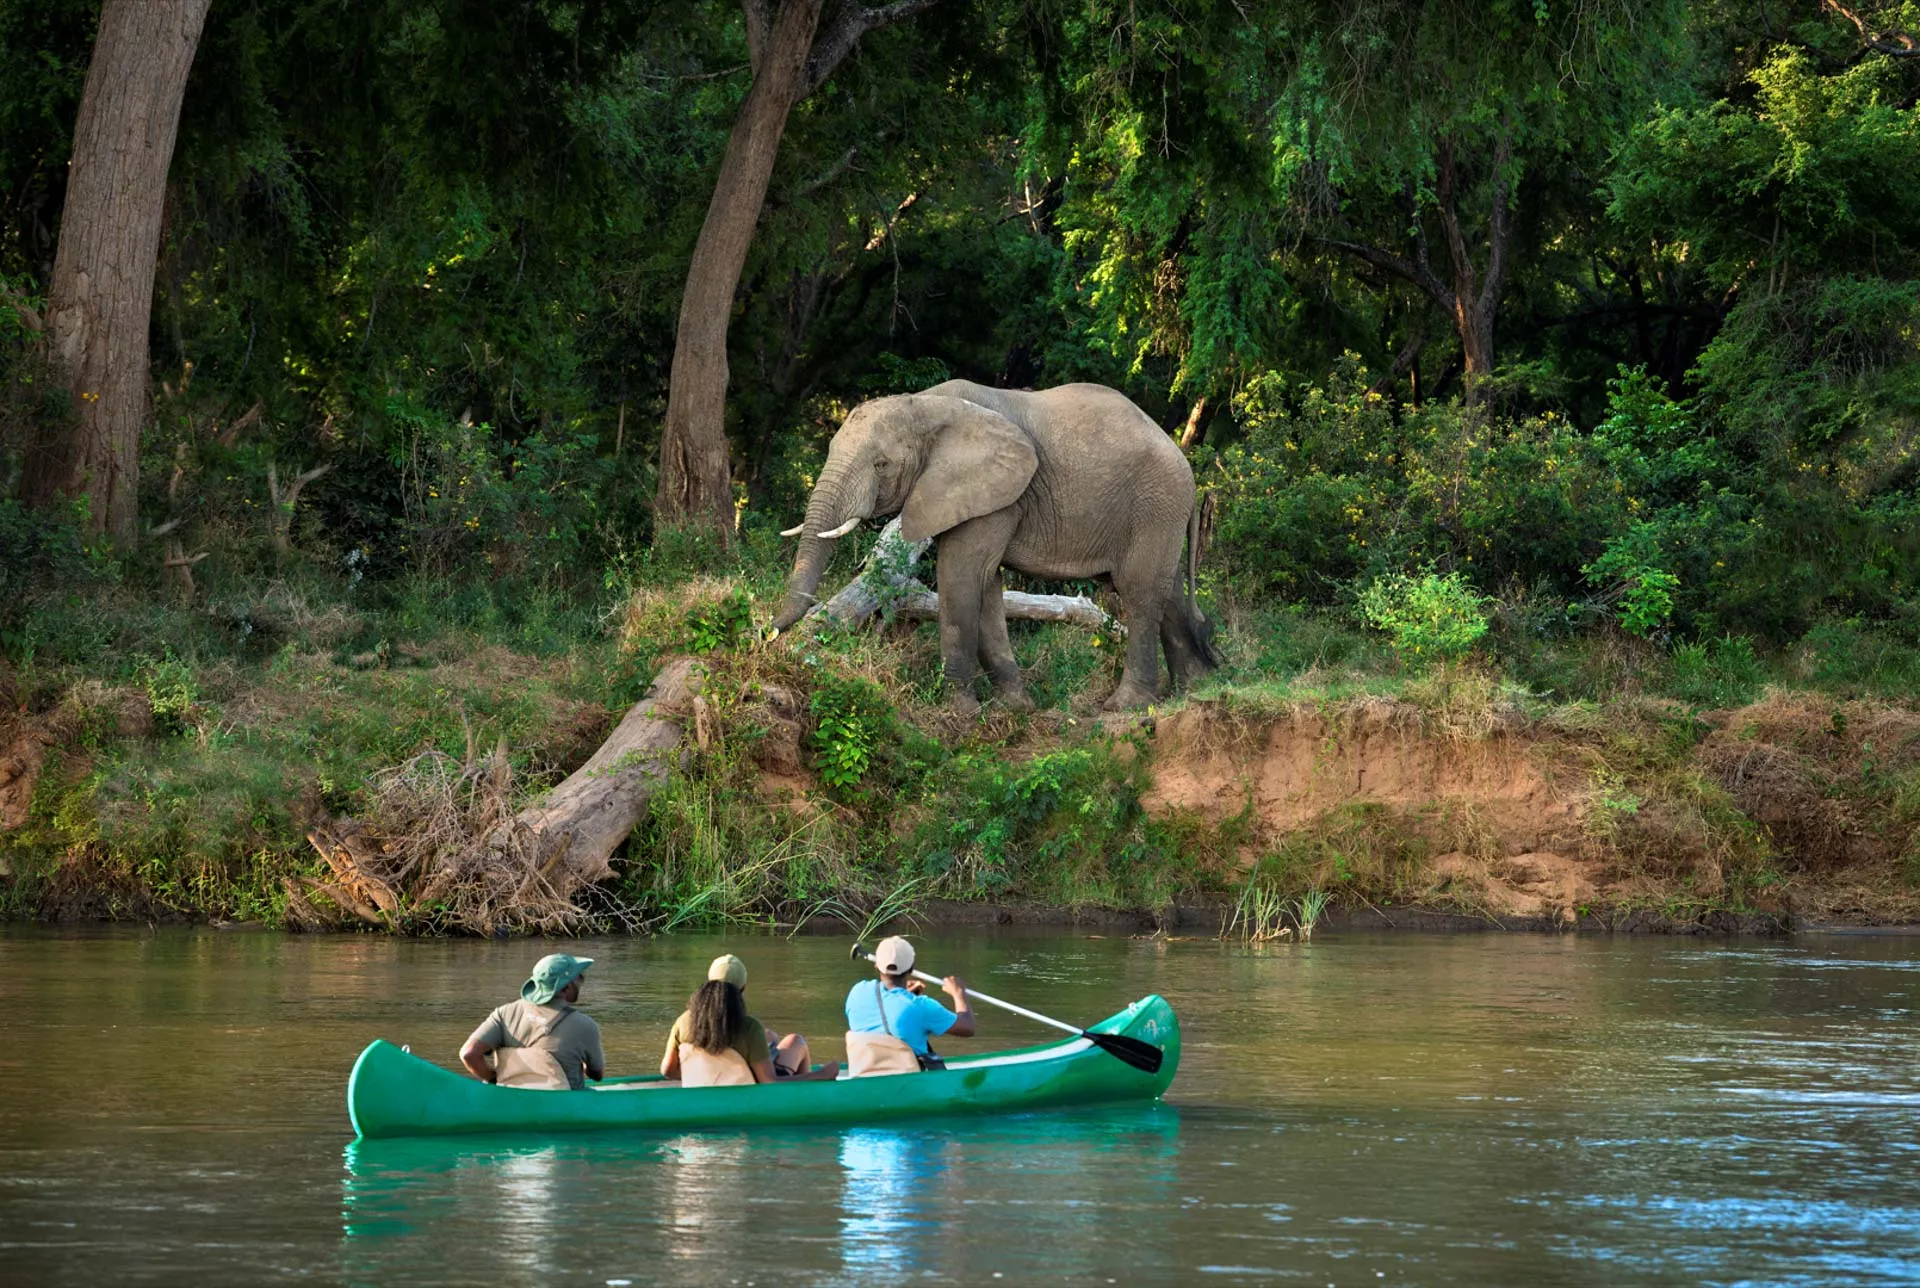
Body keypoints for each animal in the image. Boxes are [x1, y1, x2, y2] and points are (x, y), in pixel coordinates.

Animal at [770, 379, 1216, 712]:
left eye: (881, 464)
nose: (768, 634)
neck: (925, 405)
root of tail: (1187, 465)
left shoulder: (997, 492)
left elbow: (961, 574)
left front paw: (959, 712)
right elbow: (986, 583)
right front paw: (1015, 707)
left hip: (1156, 502)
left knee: (1139, 591)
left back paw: (1126, 706)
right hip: (1158, 512)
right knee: (1167, 591)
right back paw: (1194, 689)